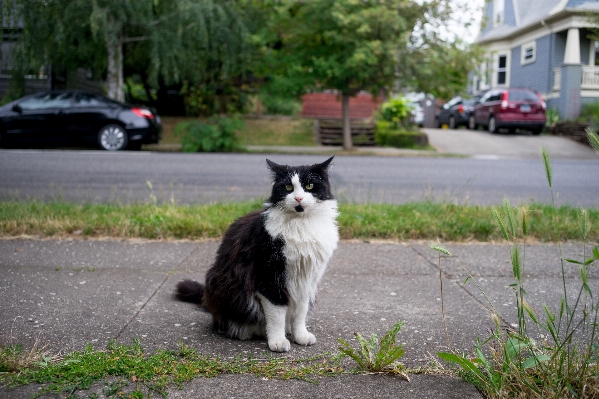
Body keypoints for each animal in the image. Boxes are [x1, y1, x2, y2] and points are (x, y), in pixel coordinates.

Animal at [176, 156, 340, 354]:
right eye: (288, 187)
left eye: (309, 186)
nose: (298, 198)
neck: (301, 224)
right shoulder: (269, 277)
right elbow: (277, 315)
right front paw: (277, 341)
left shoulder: (306, 280)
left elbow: (300, 312)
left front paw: (300, 335)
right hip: (224, 285)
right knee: (225, 321)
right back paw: (242, 331)